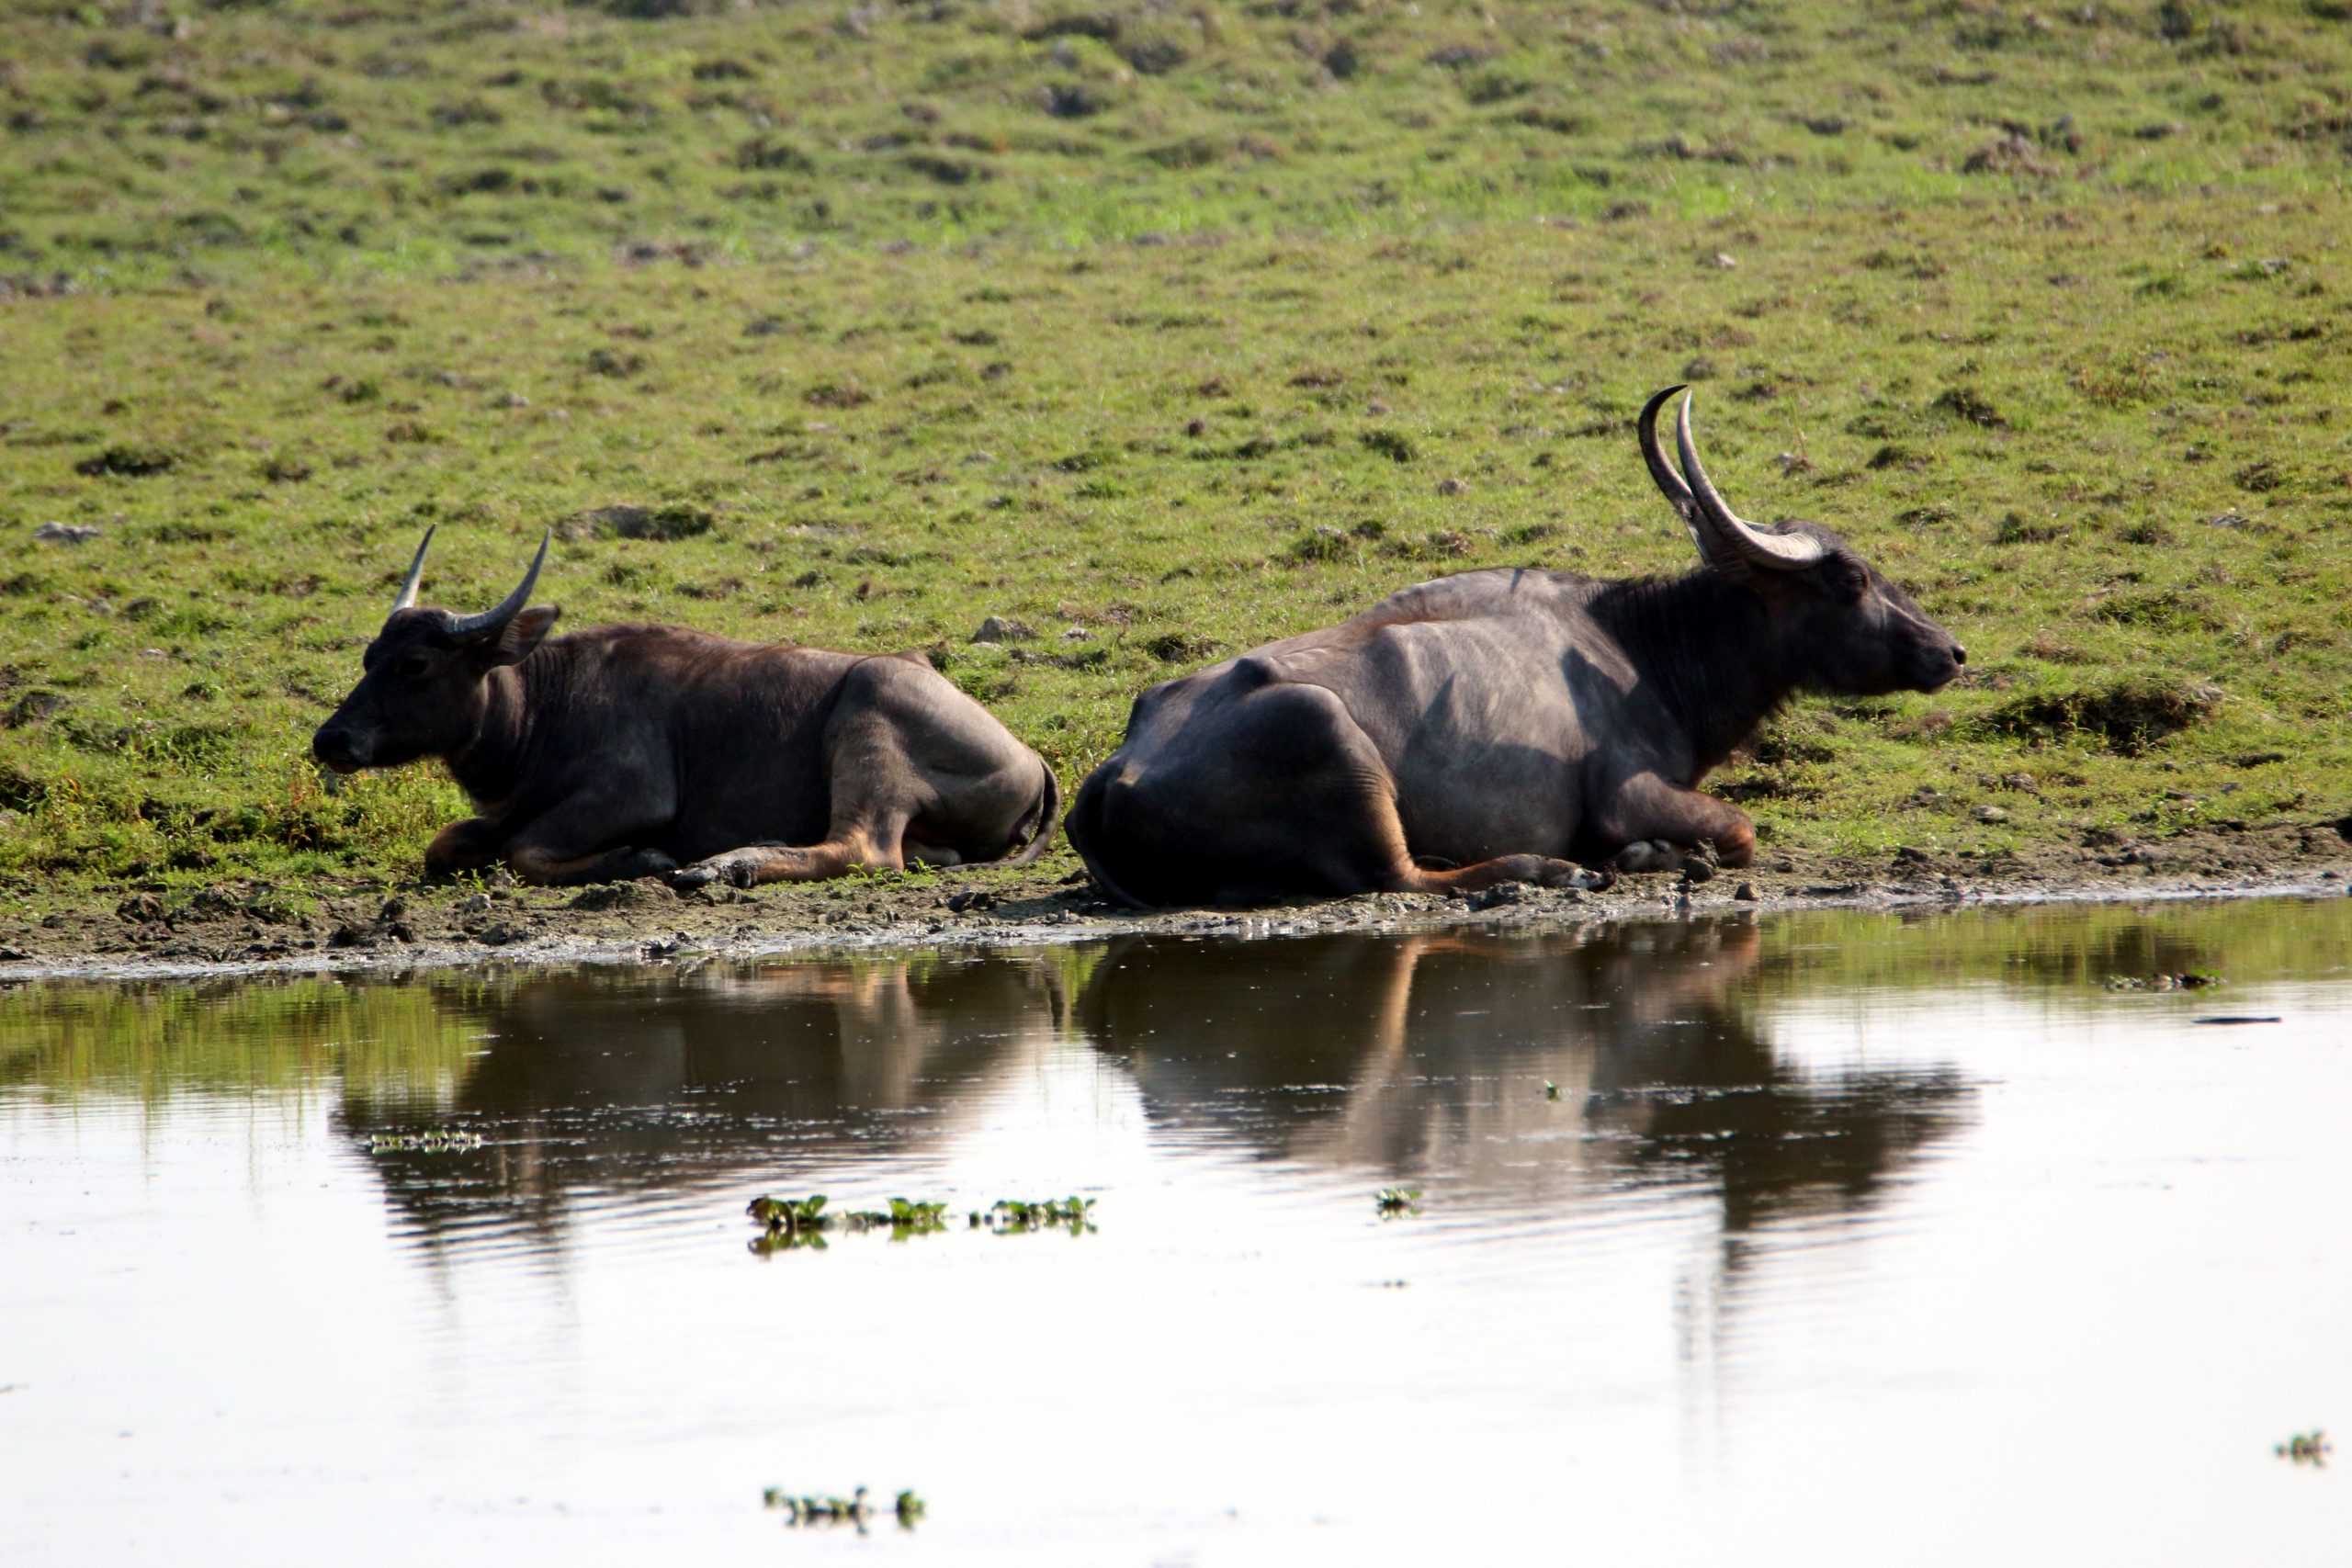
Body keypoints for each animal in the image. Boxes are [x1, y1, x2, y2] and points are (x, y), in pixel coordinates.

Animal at [310, 533, 1058, 888]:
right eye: (370, 655)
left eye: (416, 664)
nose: (331, 740)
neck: (539, 710)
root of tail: (1030, 757)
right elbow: (447, 844)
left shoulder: (634, 794)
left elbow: (525, 850)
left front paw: (641, 859)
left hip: (869, 714)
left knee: (865, 849)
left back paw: (725, 865)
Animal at [1068, 380, 1966, 911]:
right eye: (1851, 577)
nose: (1951, 651)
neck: (1643, 653)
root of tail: (1117, 770)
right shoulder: (1630, 793)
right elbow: (1739, 831)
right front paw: (1652, 855)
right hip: (1333, 738)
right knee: (1404, 877)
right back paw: (1554, 869)